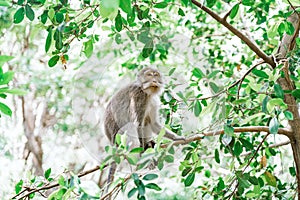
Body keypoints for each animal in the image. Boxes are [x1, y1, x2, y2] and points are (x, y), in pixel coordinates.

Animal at [103, 67, 185, 195]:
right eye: (149, 75)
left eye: (156, 75)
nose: (154, 80)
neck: (146, 91)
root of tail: (111, 142)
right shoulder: (139, 97)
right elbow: (137, 125)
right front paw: (143, 153)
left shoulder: (152, 100)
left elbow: (153, 124)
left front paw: (176, 137)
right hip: (118, 137)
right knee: (131, 127)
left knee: (146, 122)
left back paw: (149, 144)